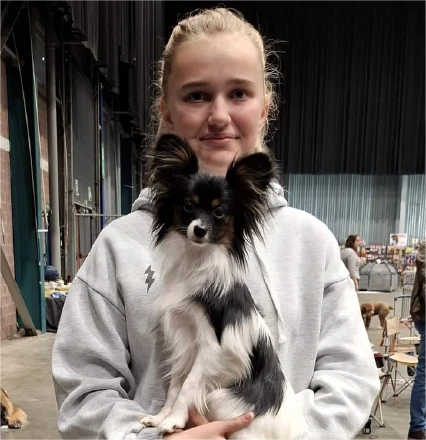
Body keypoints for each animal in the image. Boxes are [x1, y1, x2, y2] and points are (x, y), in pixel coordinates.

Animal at [139, 134, 303, 440]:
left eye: (218, 212)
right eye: (188, 206)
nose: (199, 229)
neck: (196, 261)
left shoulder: (216, 348)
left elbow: (189, 385)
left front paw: (174, 420)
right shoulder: (185, 340)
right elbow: (175, 384)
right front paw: (160, 417)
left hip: (222, 399)